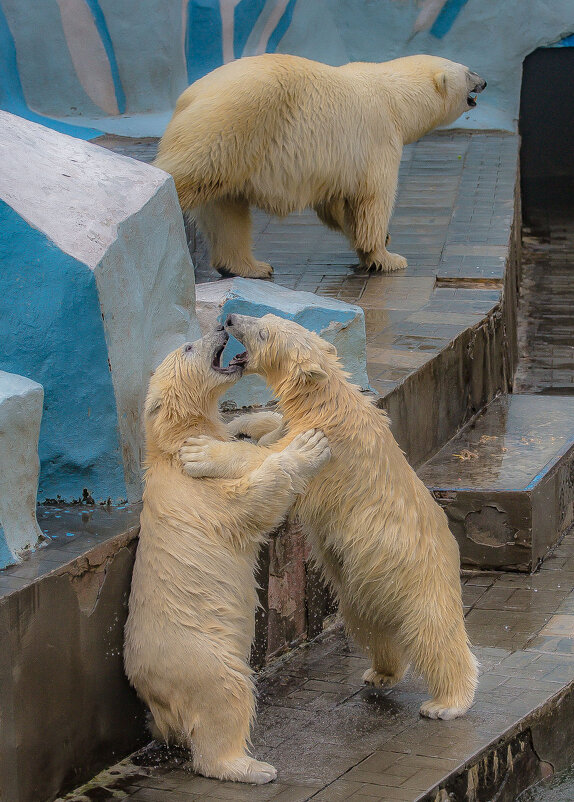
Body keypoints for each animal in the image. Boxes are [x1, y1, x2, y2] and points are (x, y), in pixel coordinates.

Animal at [125, 324, 332, 780]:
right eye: (188, 346)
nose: (219, 326)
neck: (172, 445)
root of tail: (150, 690)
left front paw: (271, 425)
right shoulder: (200, 492)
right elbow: (253, 503)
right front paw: (307, 446)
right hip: (198, 656)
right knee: (225, 696)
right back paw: (251, 767)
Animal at [156, 52, 486, 278]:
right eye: (468, 72)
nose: (483, 81)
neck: (395, 97)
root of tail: (189, 97)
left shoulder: (339, 161)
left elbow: (337, 205)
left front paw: (377, 243)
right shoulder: (379, 138)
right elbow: (373, 200)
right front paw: (387, 257)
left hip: (234, 148)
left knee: (225, 210)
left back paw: (251, 267)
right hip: (231, 125)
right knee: (192, 177)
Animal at [182, 314, 480, 720]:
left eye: (263, 331)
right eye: (267, 318)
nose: (229, 318)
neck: (325, 398)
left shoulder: (329, 447)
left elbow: (272, 462)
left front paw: (201, 451)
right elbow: (273, 431)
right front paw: (236, 426)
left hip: (416, 575)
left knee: (432, 632)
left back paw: (447, 703)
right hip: (364, 582)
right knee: (371, 625)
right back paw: (381, 672)